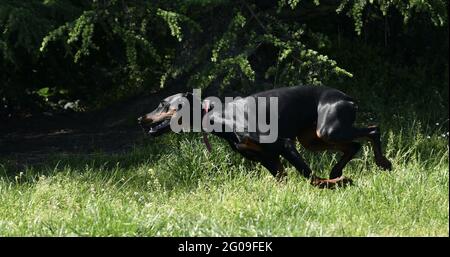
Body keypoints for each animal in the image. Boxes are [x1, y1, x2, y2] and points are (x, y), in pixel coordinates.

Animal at [139, 85, 392, 187]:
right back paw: (337, 171)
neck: (221, 117)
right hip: (313, 139)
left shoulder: (285, 145)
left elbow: (310, 177)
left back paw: (382, 163)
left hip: (328, 130)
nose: (141, 119)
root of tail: (347, 98)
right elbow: (282, 178)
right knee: (354, 146)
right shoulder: (266, 158)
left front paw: (339, 183)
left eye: (164, 104)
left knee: (373, 130)